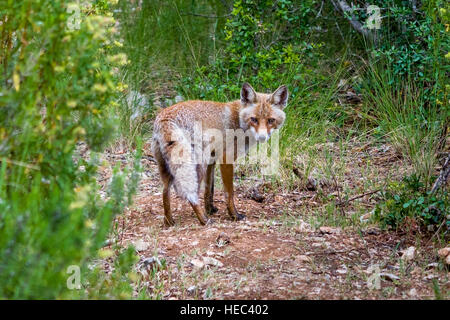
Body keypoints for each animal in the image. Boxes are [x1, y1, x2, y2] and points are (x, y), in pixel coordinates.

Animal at [152, 83, 288, 228]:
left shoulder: (212, 159)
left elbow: (209, 189)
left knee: (165, 192)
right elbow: (229, 193)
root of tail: (164, 117)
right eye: (254, 119)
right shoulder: (226, 159)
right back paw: (204, 220)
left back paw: (169, 221)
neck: (238, 120)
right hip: (197, 164)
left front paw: (210, 209)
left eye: (271, 120)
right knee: (191, 195)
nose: (262, 137)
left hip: (169, 167)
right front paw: (234, 215)